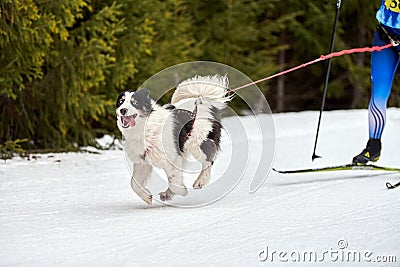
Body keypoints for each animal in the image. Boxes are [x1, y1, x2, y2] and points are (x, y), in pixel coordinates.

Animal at [115, 75, 231, 205]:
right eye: (120, 102)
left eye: (134, 103)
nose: (123, 110)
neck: (144, 128)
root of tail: (203, 105)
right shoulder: (143, 162)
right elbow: (133, 183)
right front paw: (147, 196)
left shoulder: (172, 158)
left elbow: (174, 182)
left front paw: (182, 191)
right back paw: (168, 193)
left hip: (197, 144)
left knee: (208, 161)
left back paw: (200, 181)